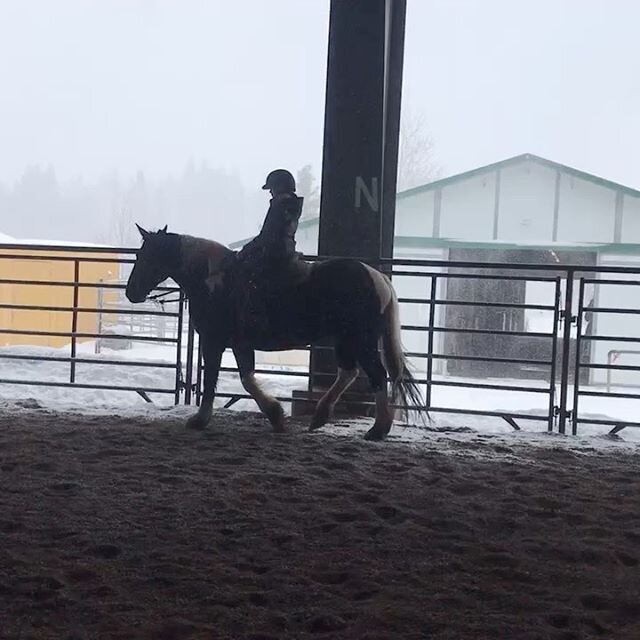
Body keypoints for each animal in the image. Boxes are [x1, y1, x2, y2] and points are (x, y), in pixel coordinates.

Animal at [125, 225, 424, 440]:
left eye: (146, 256)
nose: (131, 292)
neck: (214, 281)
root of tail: (377, 277)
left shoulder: (214, 342)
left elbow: (212, 381)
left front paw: (200, 420)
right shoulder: (239, 344)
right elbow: (247, 379)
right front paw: (276, 415)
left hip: (361, 340)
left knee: (377, 376)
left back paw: (377, 429)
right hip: (346, 340)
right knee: (349, 373)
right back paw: (321, 416)